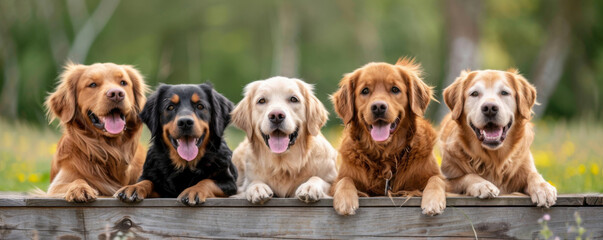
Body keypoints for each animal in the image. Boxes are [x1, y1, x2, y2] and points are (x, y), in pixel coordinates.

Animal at [45, 62, 148, 202]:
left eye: (123, 82)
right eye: (92, 84)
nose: (116, 94)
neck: (111, 150)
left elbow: (148, 181)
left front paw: (134, 187)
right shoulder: (56, 185)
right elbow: (76, 180)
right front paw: (80, 189)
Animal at [328, 58, 446, 216]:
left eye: (395, 89)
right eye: (365, 91)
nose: (378, 107)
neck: (385, 153)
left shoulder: (437, 177)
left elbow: (436, 180)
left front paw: (433, 201)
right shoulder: (339, 180)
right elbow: (344, 180)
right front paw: (345, 200)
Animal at [442, 68, 560, 207]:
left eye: (504, 92)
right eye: (474, 93)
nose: (489, 108)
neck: (494, 159)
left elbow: (533, 174)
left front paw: (543, 188)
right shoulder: (445, 177)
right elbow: (466, 176)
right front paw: (483, 184)